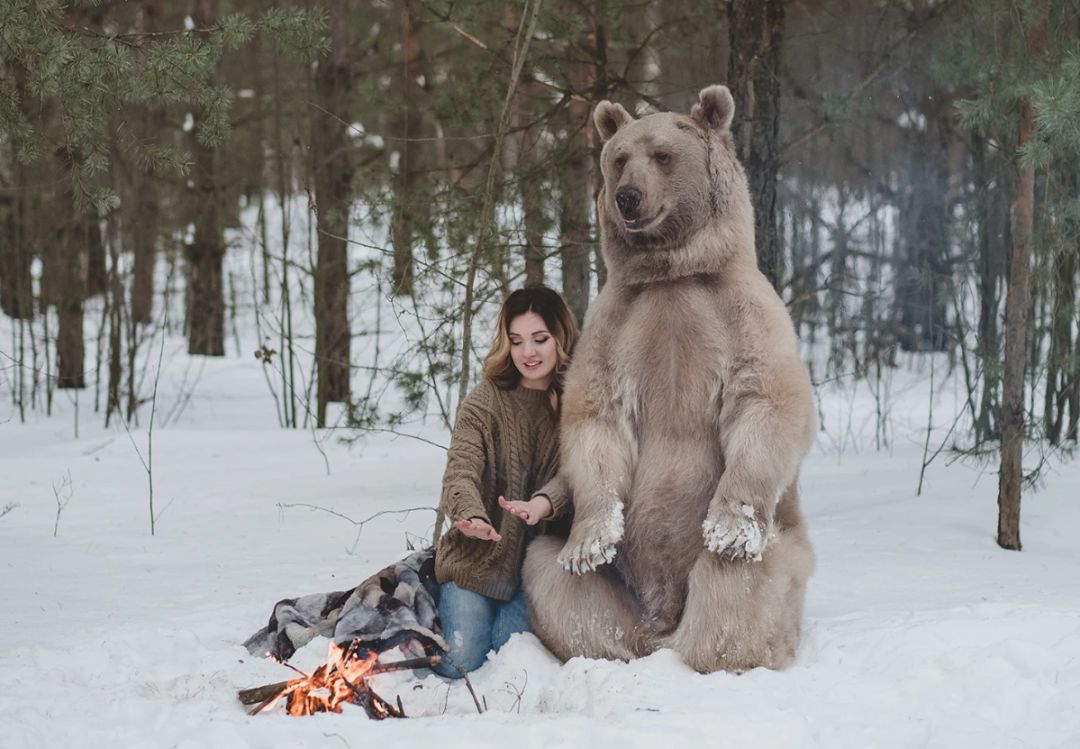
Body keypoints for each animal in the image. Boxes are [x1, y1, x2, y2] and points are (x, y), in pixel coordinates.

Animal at [518, 83, 812, 673]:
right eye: (618, 158)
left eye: (662, 155)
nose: (628, 197)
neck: (673, 271)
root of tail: (661, 622)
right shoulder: (614, 326)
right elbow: (594, 418)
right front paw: (590, 540)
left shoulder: (742, 314)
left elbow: (767, 401)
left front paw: (728, 525)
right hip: (609, 584)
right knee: (559, 585)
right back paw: (612, 647)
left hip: (771, 548)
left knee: (737, 588)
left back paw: (717, 651)